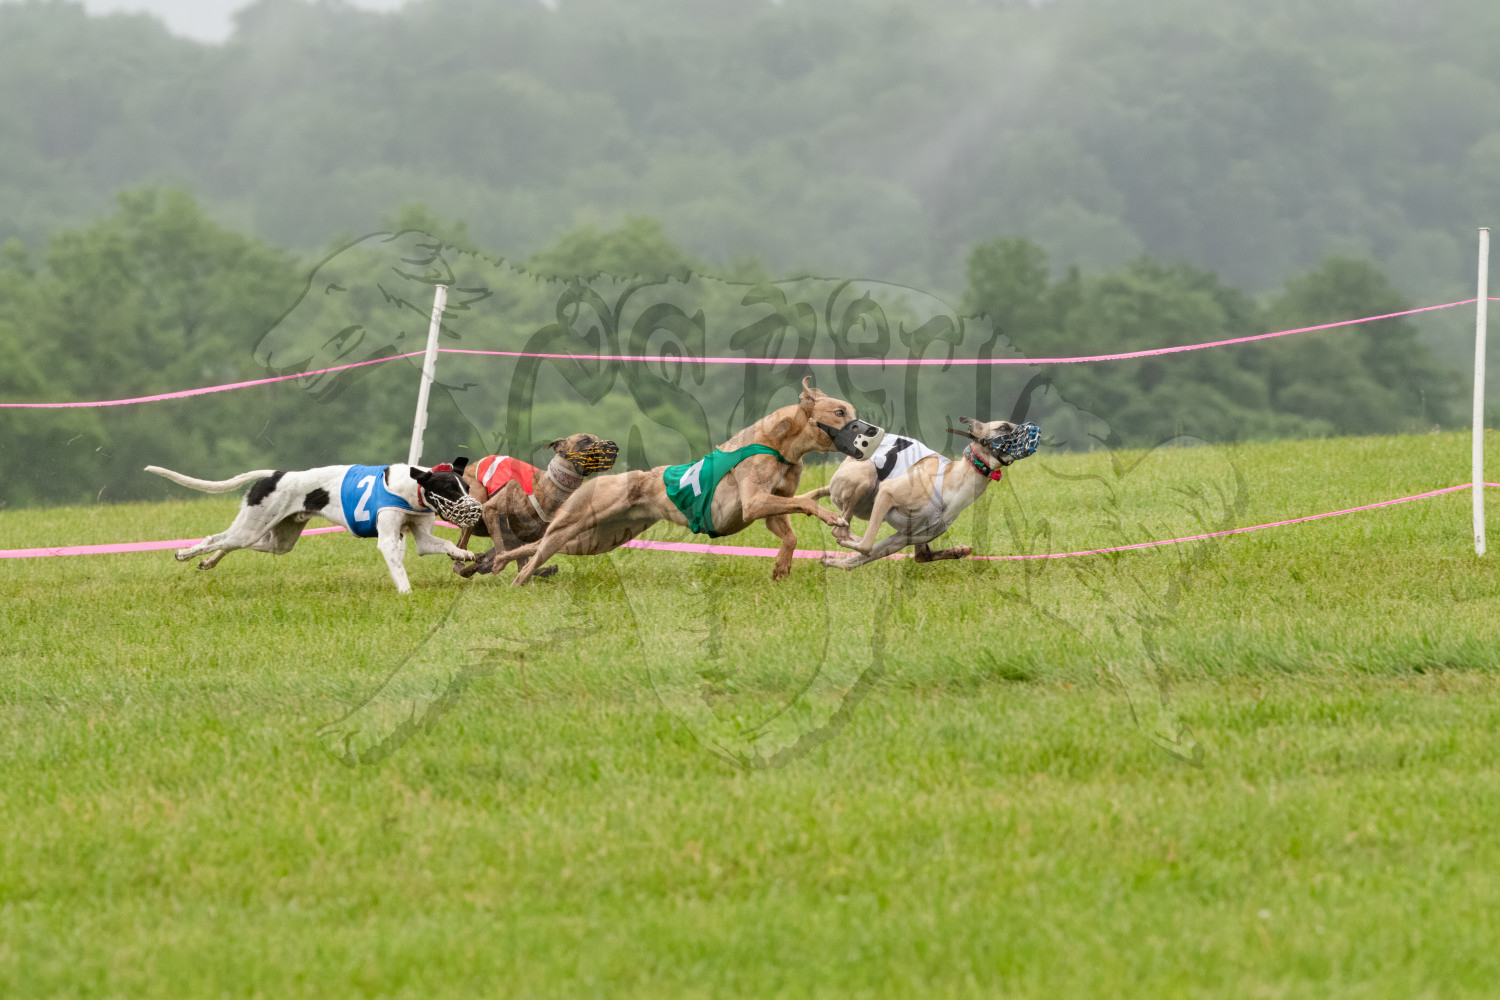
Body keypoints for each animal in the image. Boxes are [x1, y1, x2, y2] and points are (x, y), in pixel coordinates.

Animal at [144, 460, 483, 593]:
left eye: (466, 487)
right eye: (450, 490)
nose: (476, 509)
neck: (411, 488)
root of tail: (277, 474)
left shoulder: (423, 536)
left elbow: (443, 545)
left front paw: (464, 555)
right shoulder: (388, 538)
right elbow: (398, 567)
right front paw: (406, 593)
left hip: (278, 539)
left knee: (230, 543)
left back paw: (207, 561)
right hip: (253, 527)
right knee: (218, 538)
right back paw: (186, 553)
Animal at [453, 433, 620, 578]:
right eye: (585, 440)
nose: (613, 445)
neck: (549, 489)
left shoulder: (522, 538)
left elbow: (523, 558)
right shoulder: (491, 510)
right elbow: (501, 552)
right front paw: (494, 563)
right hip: (477, 500)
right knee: (460, 550)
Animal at [474, 377, 885, 585]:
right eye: (839, 412)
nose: (872, 432)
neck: (781, 444)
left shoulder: (770, 508)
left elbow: (790, 534)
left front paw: (781, 567)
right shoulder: (754, 501)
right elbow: (808, 502)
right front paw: (831, 517)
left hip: (593, 538)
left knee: (534, 549)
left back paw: (497, 563)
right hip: (576, 522)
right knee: (537, 551)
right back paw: (515, 578)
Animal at [807, 418, 1040, 569]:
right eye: (1003, 426)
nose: (1035, 431)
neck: (953, 480)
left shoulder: (904, 537)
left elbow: (860, 557)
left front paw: (832, 560)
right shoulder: (887, 493)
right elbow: (866, 546)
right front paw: (845, 548)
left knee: (919, 554)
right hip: (864, 477)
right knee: (841, 530)